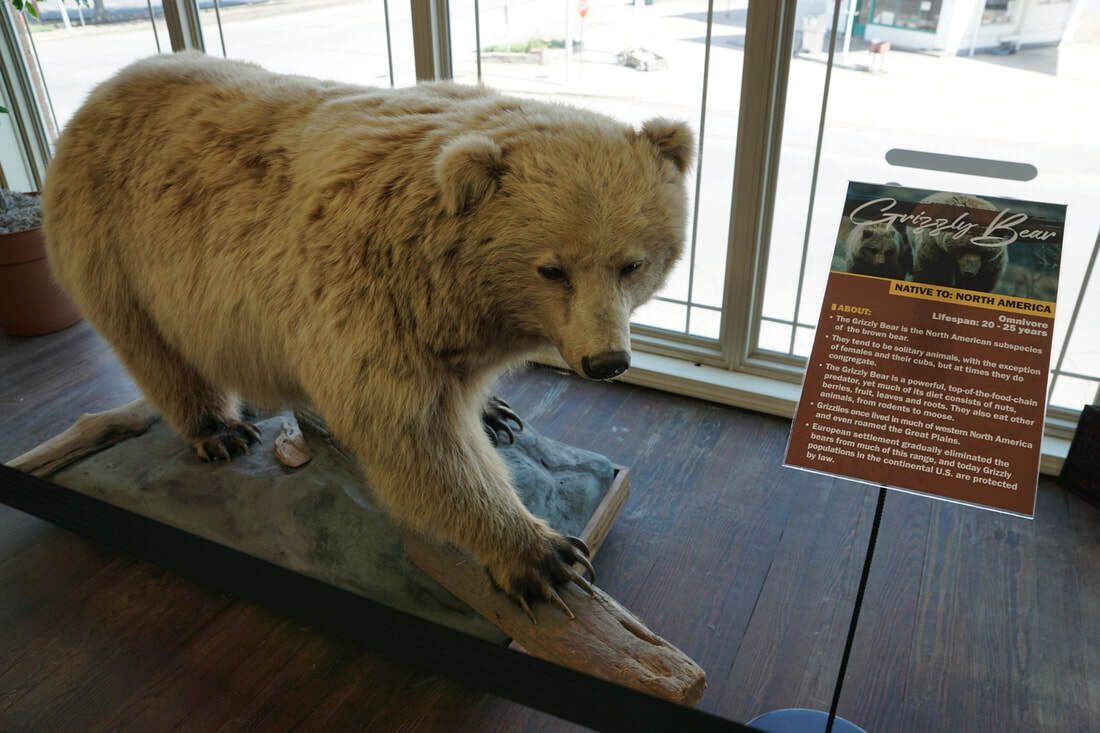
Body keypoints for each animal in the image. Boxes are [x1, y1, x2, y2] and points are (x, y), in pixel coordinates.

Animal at [42, 52, 694, 616]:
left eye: (632, 264)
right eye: (553, 269)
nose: (607, 361)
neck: (443, 278)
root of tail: (102, 90)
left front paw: (496, 412)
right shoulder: (363, 288)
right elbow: (412, 432)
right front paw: (543, 554)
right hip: (114, 246)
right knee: (156, 352)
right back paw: (219, 430)